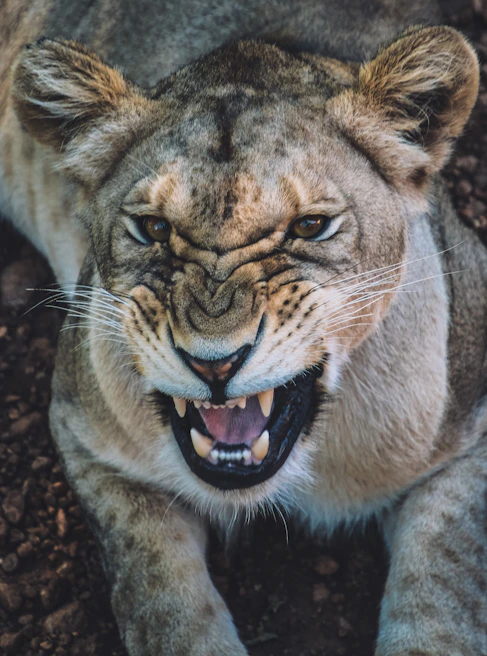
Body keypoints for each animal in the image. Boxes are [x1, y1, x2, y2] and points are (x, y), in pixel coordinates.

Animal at [1, 0, 487, 654]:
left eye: (310, 226)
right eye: (152, 229)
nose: (214, 362)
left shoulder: (471, 429)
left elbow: (442, 599)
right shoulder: (85, 434)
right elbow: (166, 608)